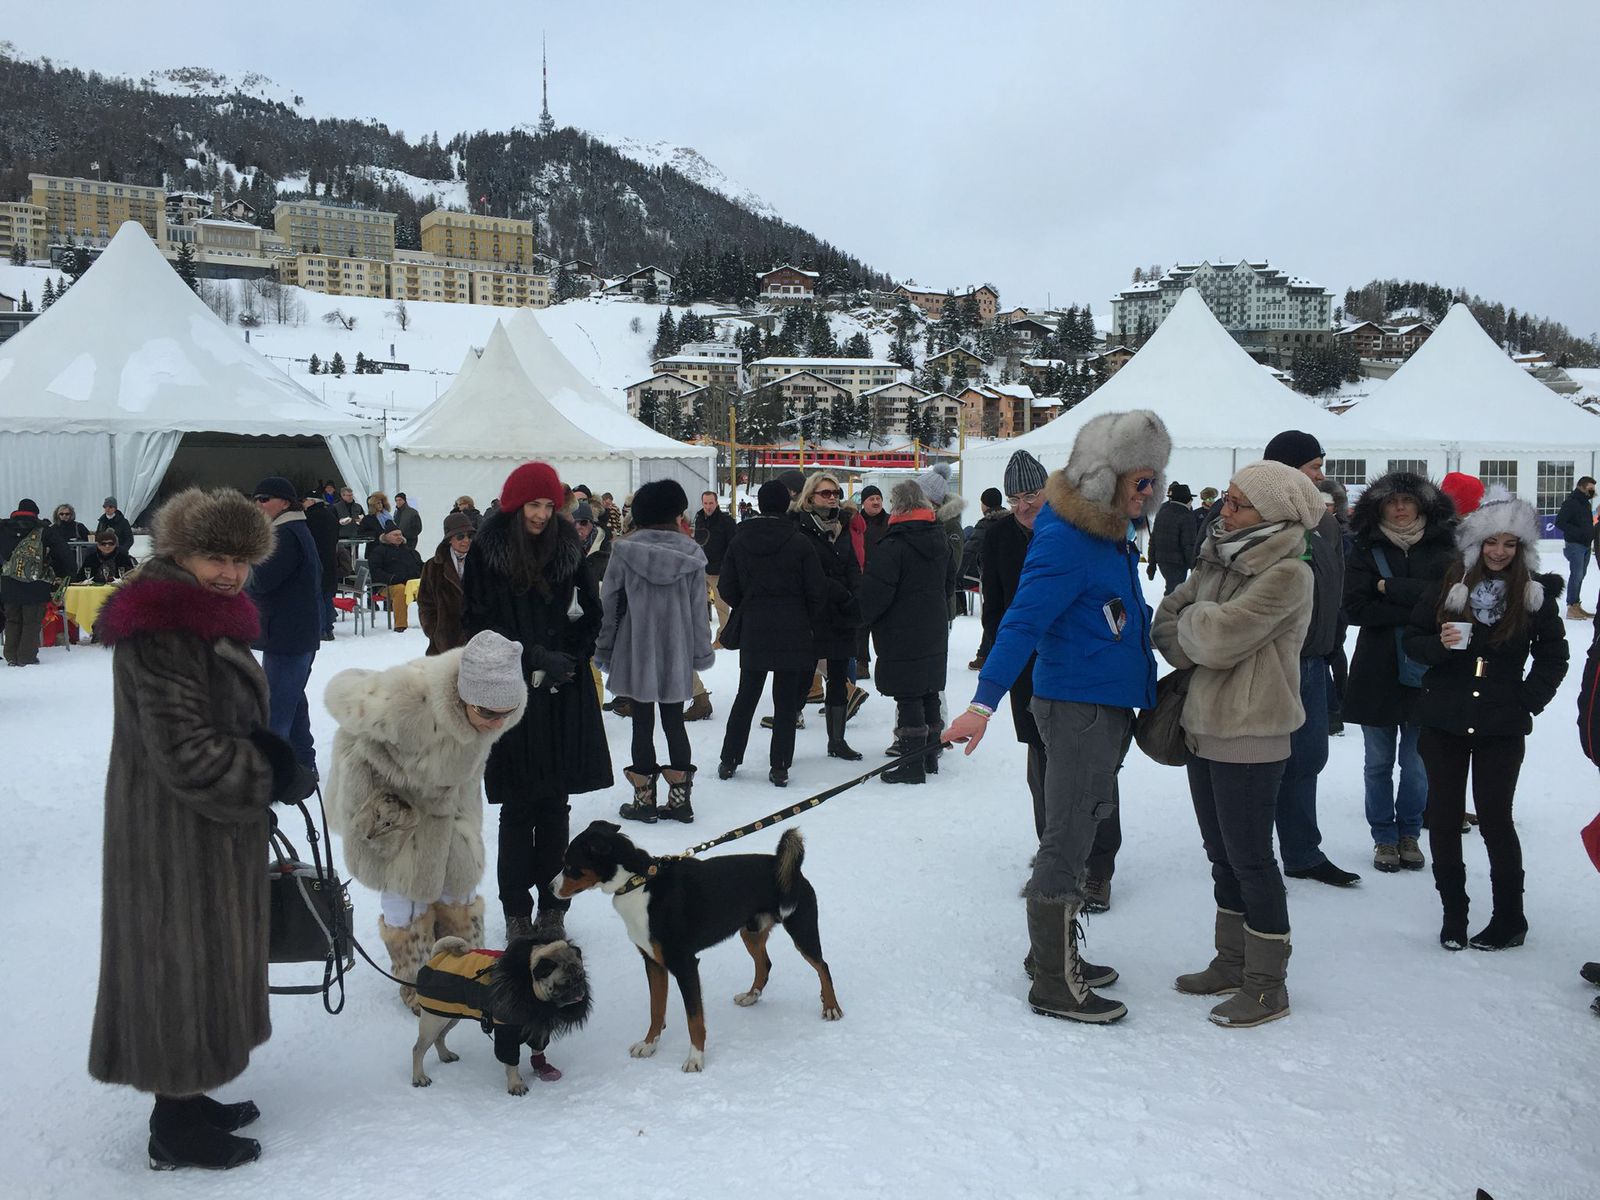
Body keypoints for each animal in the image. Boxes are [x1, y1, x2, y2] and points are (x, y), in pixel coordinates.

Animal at [409, 940, 592, 1100]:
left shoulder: (538, 1027)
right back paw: (419, 1077)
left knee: (440, 1037)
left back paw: (445, 1055)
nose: (579, 988)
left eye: (581, 976)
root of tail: (437, 956)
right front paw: (516, 1084)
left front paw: (541, 1068)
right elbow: (511, 1061)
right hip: (434, 1021)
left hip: (449, 1015)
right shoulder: (506, 1031)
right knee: (418, 1049)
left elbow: (537, 1049)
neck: (529, 986)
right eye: (565, 983)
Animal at [556, 825, 844, 1075]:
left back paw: (831, 1006)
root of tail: (784, 865)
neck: (639, 883)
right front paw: (649, 1044)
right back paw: (751, 996)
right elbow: (656, 1008)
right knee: (765, 964)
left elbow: (694, 1019)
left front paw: (695, 1059)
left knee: (822, 966)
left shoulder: (684, 964)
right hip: (750, 932)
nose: (549, 887)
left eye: (570, 866)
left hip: (801, 930)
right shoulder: (653, 962)